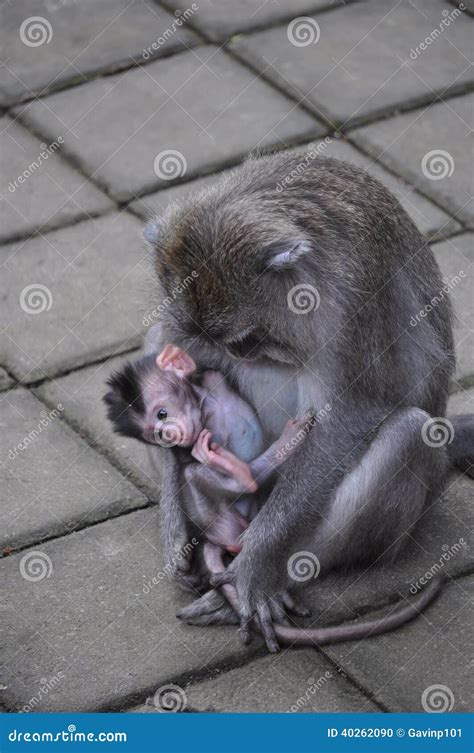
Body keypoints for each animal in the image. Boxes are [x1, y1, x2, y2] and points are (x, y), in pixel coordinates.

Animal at [143, 153, 472, 652]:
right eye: (209, 338)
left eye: (245, 339)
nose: (241, 355)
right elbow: (161, 348)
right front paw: (173, 525)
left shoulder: (350, 299)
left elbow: (351, 413)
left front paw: (256, 567)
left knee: (411, 434)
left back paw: (264, 578)